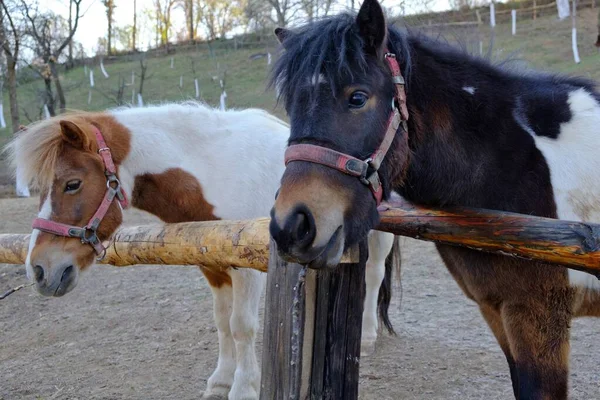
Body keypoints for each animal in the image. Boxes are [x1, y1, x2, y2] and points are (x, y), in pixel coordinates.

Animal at [8, 102, 398, 400]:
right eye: (39, 188)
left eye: (72, 184)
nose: (38, 270)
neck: (219, 171)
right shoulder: (212, 263)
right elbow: (222, 323)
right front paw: (221, 381)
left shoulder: (249, 268)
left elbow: (242, 326)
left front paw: (244, 387)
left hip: (380, 236)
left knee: (374, 275)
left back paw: (366, 336)